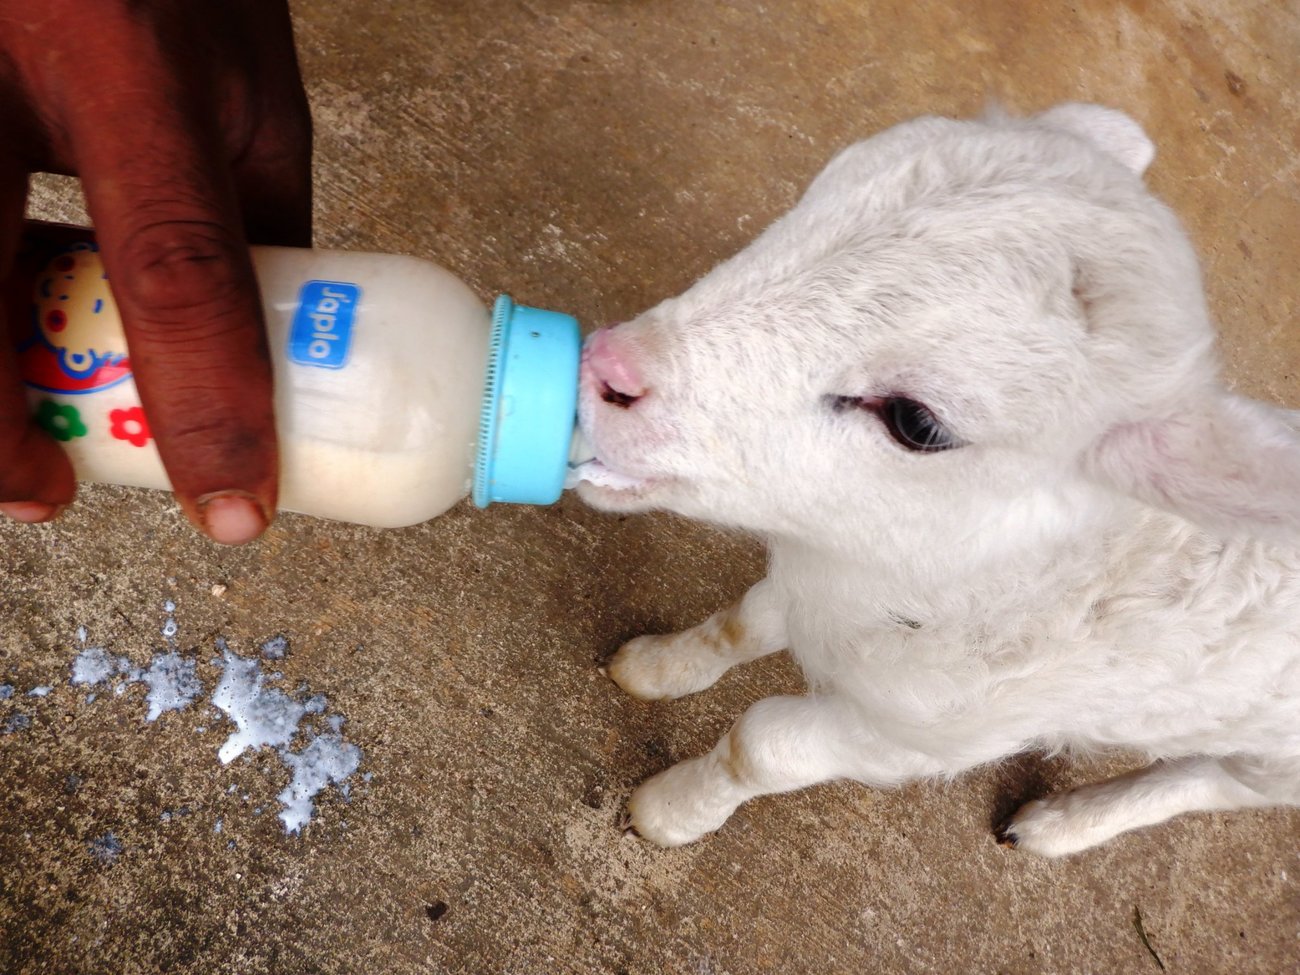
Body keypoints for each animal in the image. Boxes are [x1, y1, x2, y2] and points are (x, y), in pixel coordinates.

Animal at [574, 103, 1300, 857]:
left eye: (917, 422)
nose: (605, 366)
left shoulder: (930, 735)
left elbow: (765, 746)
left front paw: (669, 810)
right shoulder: (839, 562)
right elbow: (744, 622)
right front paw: (655, 668)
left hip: (1269, 763)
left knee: (1214, 783)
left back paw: (1066, 823)